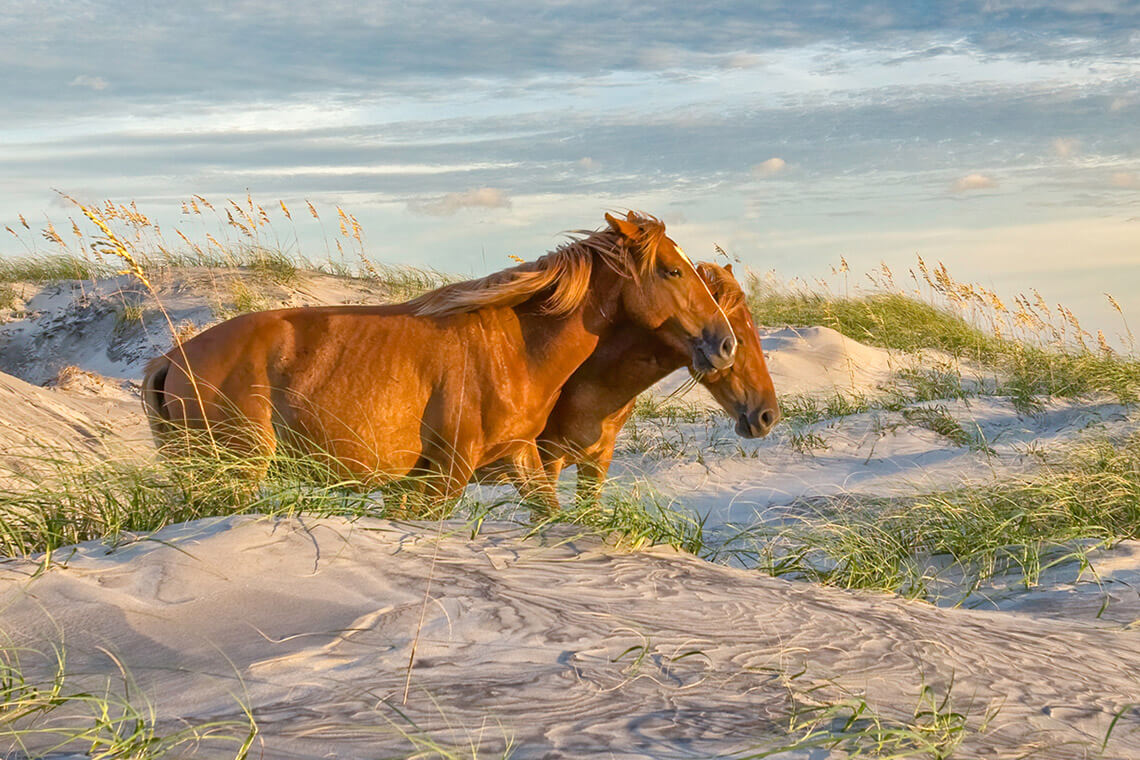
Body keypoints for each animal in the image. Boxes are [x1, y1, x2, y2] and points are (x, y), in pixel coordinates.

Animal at [141, 212, 738, 513]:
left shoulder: (518, 458)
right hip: (234, 474)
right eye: (672, 271)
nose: (726, 343)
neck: (515, 350)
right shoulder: (445, 476)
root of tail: (170, 359)